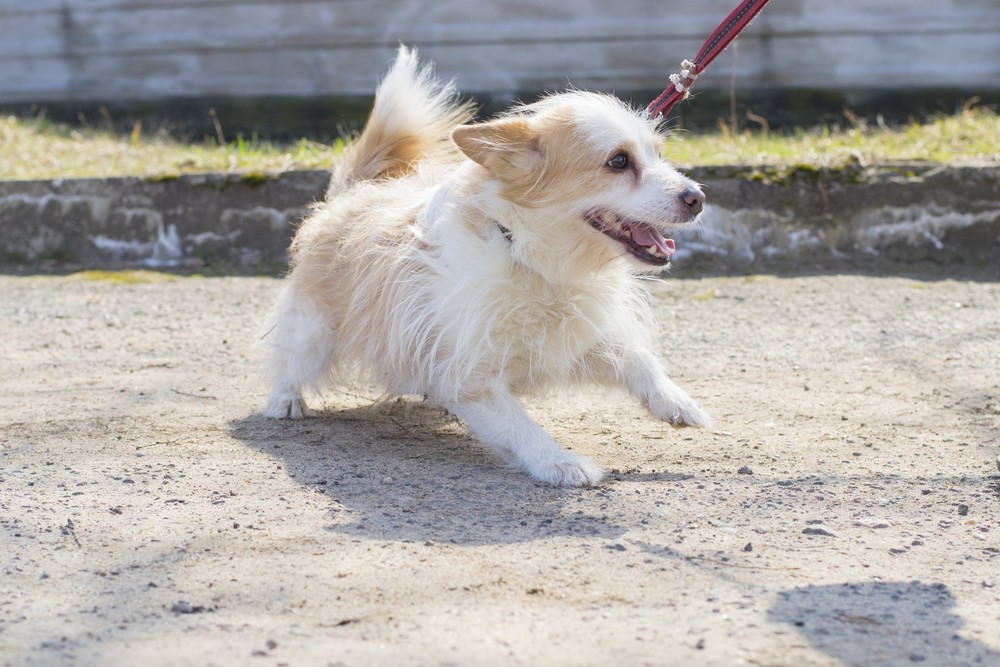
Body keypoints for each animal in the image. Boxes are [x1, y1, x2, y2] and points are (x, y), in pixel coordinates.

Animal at [262, 45, 708, 486]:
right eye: (618, 161)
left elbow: (636, 358)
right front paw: (559, 462)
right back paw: (284, 399)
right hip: (314, 329)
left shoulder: (578, 336)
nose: (697, 198)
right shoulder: (473, 378)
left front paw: (676, 402)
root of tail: (353, 192)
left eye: (658, 154)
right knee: (289, 356)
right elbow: (519, 424)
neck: (528, 256)